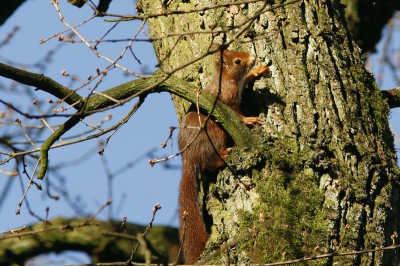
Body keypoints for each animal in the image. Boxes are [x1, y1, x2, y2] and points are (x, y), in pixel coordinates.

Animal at [179, 48, 270, 264]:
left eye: (240, 51)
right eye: (237, 61)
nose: (253, 58)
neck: (229, 80)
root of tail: (188, 157)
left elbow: (247, 80)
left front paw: (258, 71)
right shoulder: (227, 102)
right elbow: (237, 115)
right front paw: (250, 119)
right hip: (216, 136)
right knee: (210, 163)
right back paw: (224, 155)